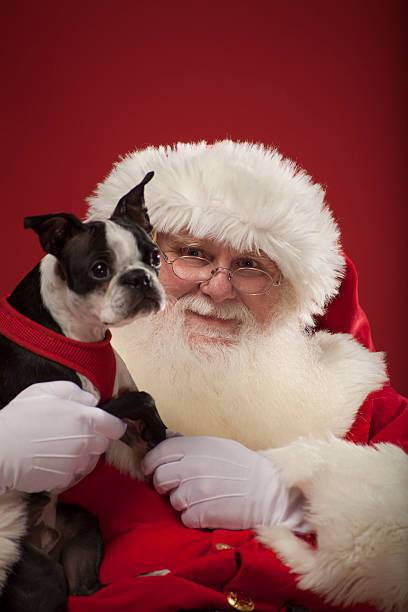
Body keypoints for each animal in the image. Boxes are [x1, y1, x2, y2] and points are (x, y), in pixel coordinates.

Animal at [0, 171, 167, 612]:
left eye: (155, 257)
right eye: (99, 269)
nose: (140, 278)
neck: (84, 336)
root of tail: (43, 542)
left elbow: (145, 413)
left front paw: (161, 440)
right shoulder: (89, 413)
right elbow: (143, 398)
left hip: (82, 528)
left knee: (88, 590)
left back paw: (151, 578)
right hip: (38, 573)